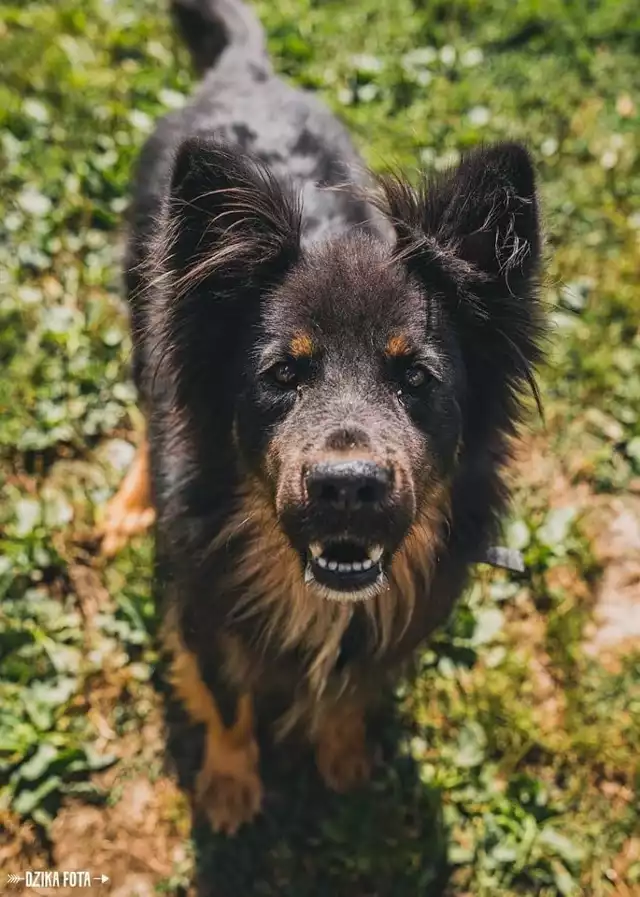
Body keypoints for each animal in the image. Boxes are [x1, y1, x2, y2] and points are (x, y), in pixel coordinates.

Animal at [100, 0, 544, 832]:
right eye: (282, 373)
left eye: (416, 376)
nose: (347, 487)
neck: (314, 592)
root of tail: (247, 72)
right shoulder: (204, 608)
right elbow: (229, 701)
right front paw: (230, 783)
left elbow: (351, 693)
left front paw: (344, 753)